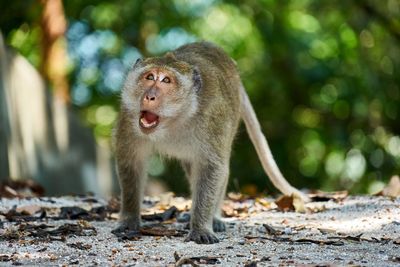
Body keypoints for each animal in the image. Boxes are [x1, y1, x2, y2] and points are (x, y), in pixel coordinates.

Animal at [114, 42, 308, 245]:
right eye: (150, 77)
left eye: (166, 80)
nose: (149, 96)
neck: (175, 119)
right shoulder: (129, 117)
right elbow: (131, 164)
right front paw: (129, 219)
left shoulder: (213, 119)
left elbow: (212, 168)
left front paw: (200, 228)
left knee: (221, 169)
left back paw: (214, 218)